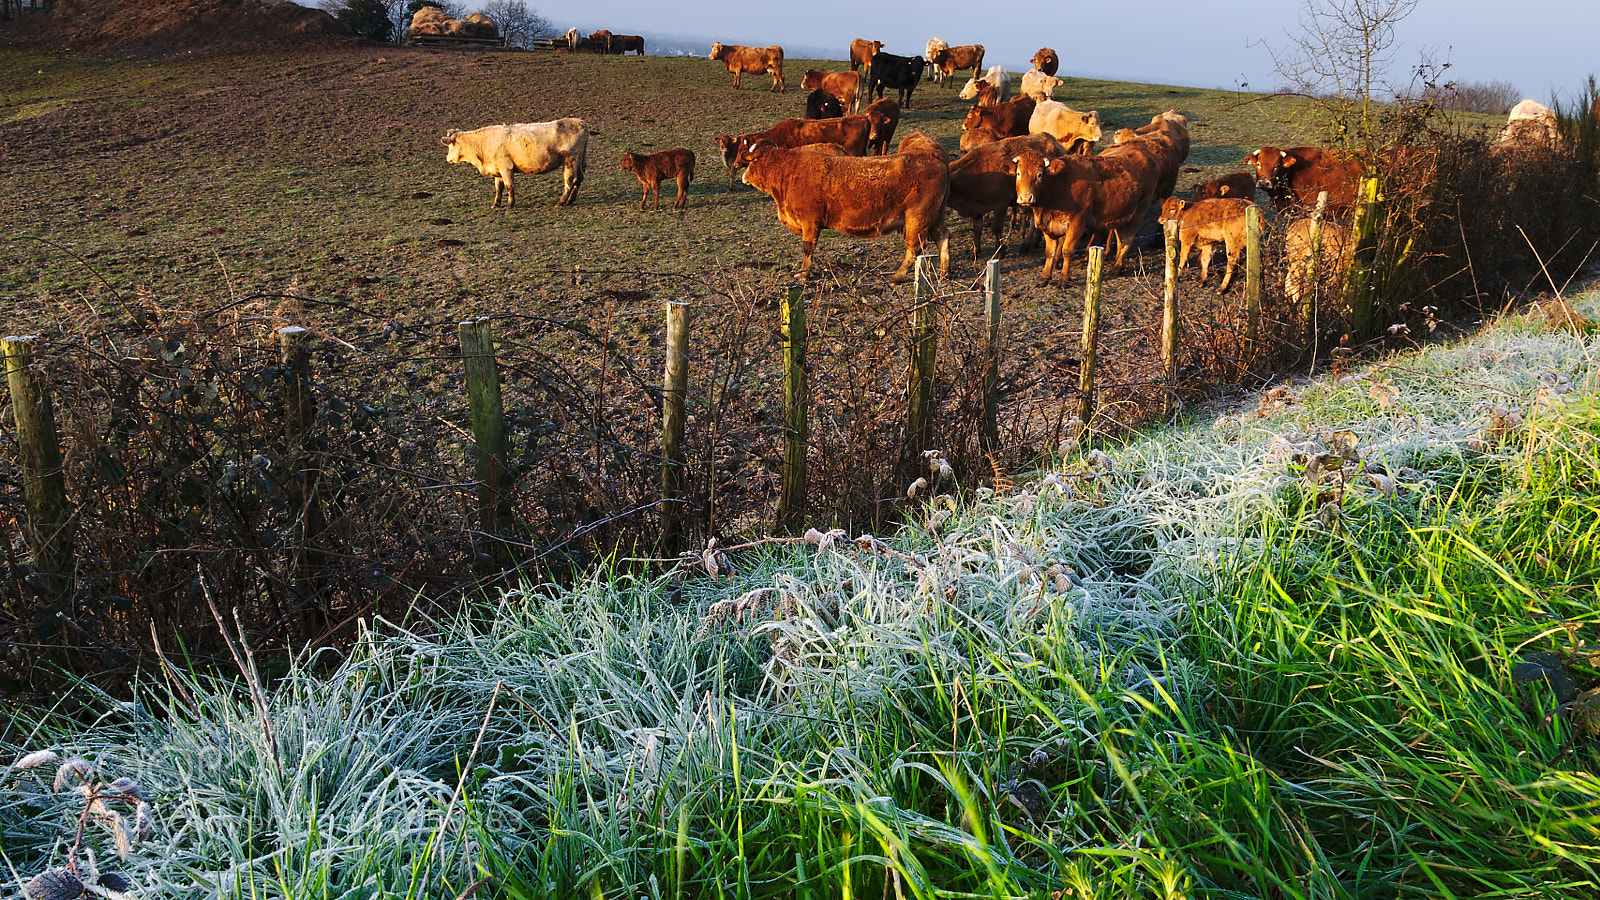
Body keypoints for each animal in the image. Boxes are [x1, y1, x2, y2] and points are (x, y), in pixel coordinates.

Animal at [442, 119, 588, 208]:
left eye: (450, 146)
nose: (448, 159)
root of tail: (580, 122)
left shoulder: (506, 167)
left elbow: (509, 186)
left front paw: (510, 204)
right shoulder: (498, 170)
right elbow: (498, 188)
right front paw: (496, 204)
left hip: (570, 160)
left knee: (570, 180)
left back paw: (561, 202)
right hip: (578, 161)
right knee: (579, 179)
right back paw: (570, 201)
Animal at [740, 141, 950, 283]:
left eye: (751, 162)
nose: (744, 177)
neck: (788, 171)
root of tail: (933, 159)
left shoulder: (810, 222)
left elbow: (808, 248)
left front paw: (803, 273)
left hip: (917, 218)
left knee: (914, 247)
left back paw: (897, 276)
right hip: (935, 216)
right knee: (942, 237)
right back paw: (943, 272)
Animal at [947, 132, 1071, 262]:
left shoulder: (1001, 204)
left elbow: (996, 228)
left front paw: (1000, 252)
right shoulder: (976, 209)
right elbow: (977, 230)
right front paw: (975, 252)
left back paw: (1027, 244)